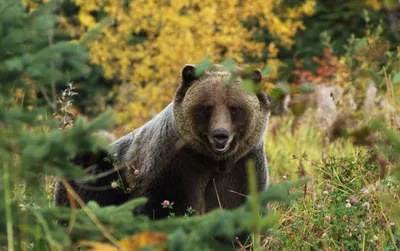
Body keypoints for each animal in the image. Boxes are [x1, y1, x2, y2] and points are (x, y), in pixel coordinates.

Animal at [54, 63, 272, 229]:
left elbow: (238, 207)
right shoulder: (175, 162)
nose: (220, 135)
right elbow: (164, 206)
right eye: (207, 106)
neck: (213, 160)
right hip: (101, 171)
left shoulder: (242, 167)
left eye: (234, 107)